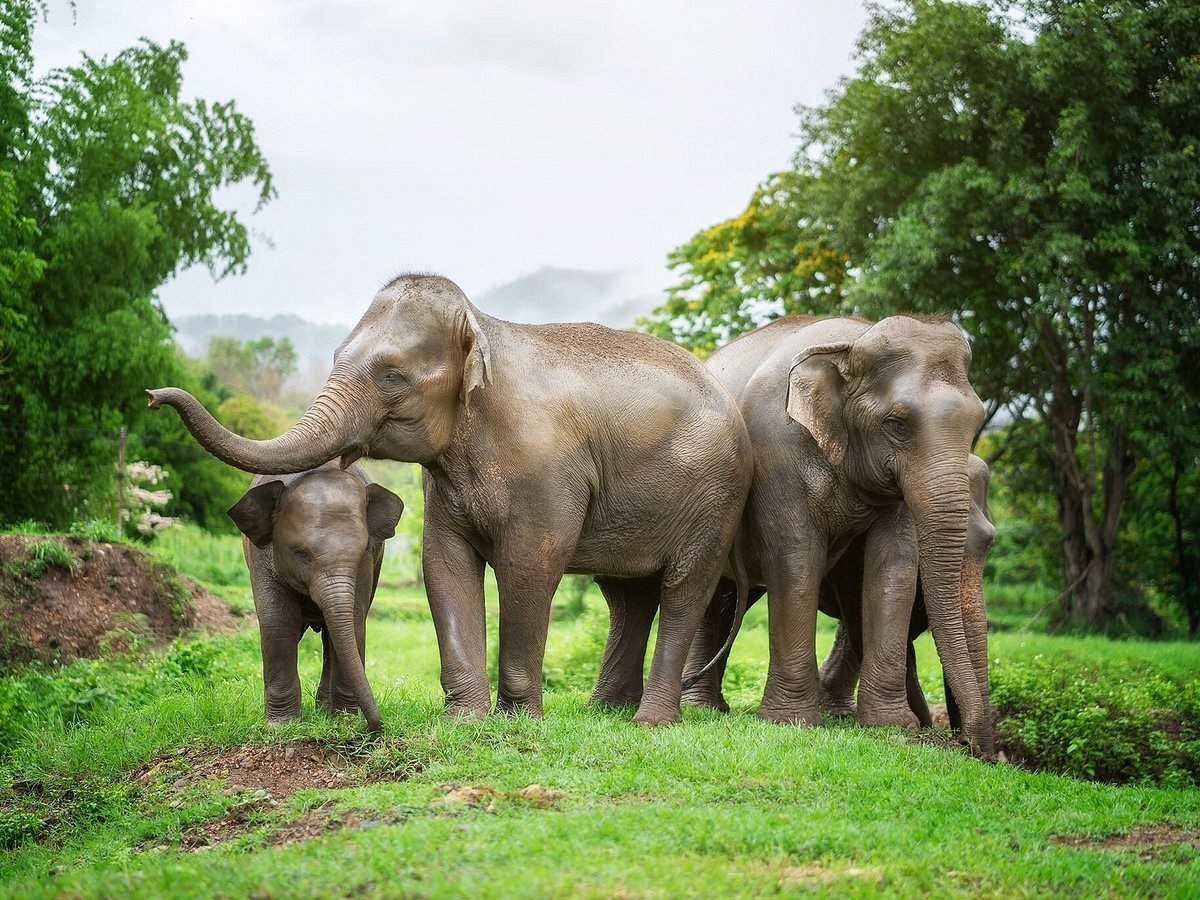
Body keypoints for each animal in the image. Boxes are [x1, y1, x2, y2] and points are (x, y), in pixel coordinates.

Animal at [226, 465, 405, 734]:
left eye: (362, 550)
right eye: (302, 554)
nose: (377, 727)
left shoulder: (367, 564)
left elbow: (354, 620)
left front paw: (343, 722)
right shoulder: (262, 556)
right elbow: (278, 622)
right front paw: (280, 726)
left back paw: (326, 711)